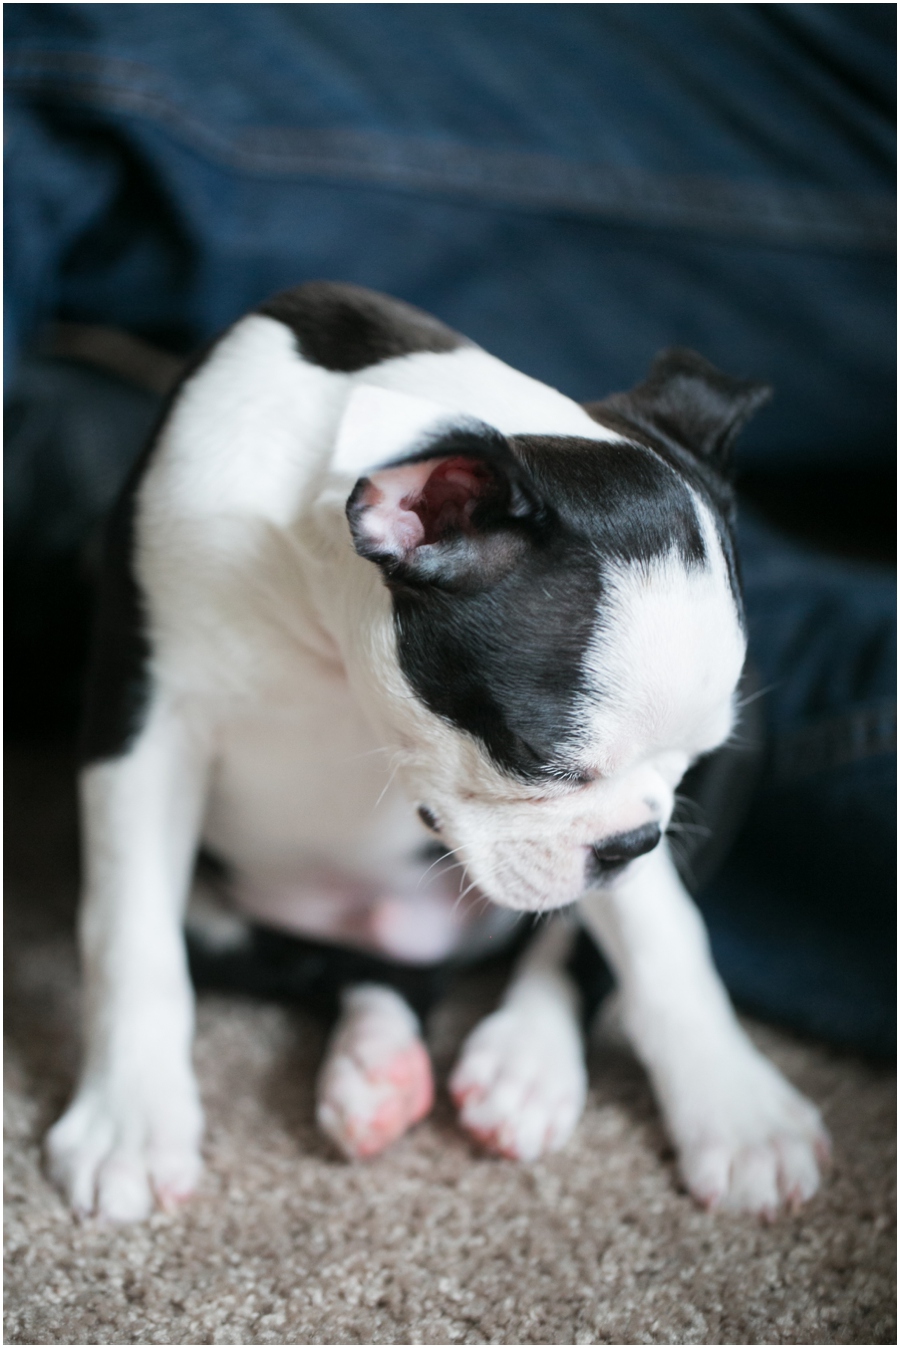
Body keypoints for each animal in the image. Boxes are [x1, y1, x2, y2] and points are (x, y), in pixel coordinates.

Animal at [45, 281, 824, 1223]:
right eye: (538, 752)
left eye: (693, 757)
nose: (634, 843)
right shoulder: (143, 723)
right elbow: (130, 935)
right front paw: (129, 1120)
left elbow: (662, 932)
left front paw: (737, 1110)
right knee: (357, 973)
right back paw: (375, 1063)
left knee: (551, 954)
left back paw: (524, 1060)